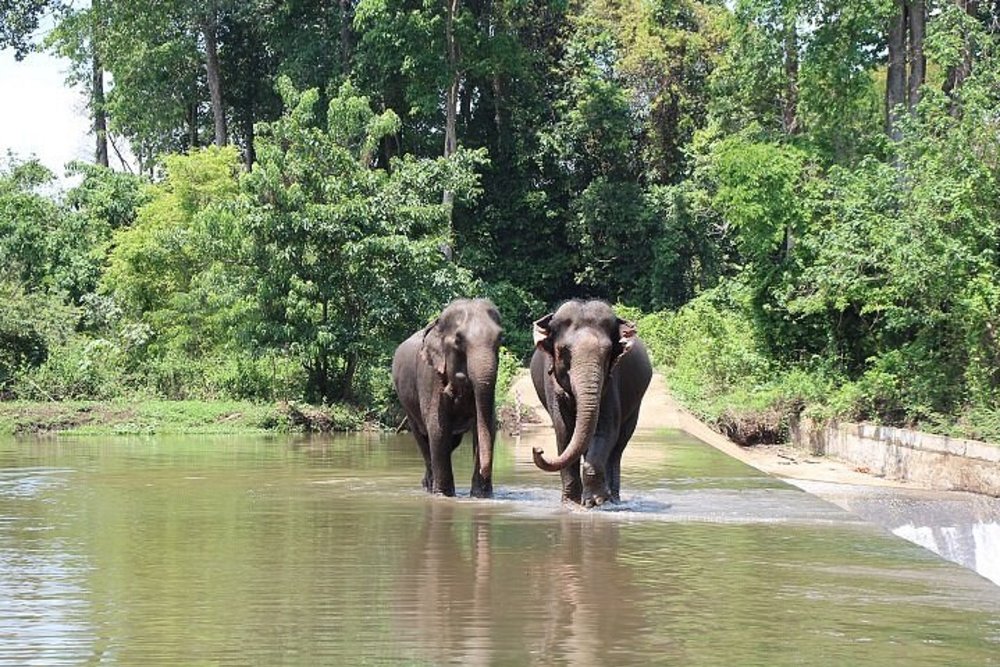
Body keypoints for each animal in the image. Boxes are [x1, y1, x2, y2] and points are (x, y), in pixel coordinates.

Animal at [392, 298, 502, 498]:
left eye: (500, 338)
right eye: (458, 340)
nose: (485, 472)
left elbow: (487, 425)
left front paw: (481, 496)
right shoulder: (430, 376)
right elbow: (438, 428)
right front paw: (443, 495)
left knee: (451, 442)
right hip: (407, 404)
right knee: (423, 438)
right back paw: (429, 486)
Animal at [530, 300, 652, 507]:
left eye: (608, 352)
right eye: (563, 351)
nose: (538, 449)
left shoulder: (611, 381)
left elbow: (605, 429)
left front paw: (594, 502)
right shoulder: (553, 385)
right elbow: (564, 430)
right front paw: (570, 502)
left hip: (635, 406)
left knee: (618, 447)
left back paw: (612, 498)